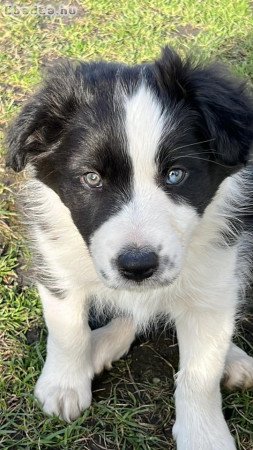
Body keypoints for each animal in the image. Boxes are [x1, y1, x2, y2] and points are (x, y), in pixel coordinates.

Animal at [5, 47, 253, 448]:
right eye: (91, 178)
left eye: (176, 175)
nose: (137, 266)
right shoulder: (56, 262)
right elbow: (67, 328)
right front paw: (64, 384)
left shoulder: (218, 270)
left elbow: (201, 370)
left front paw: (204, 435)